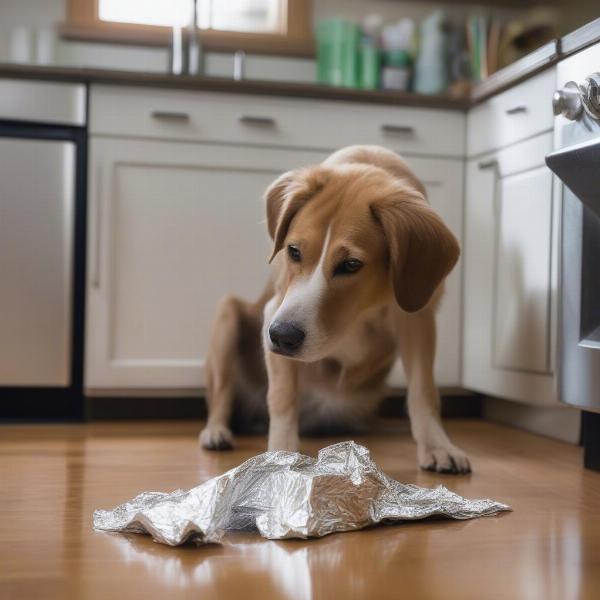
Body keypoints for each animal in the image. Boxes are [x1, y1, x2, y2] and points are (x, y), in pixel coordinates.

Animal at [199, 144, 472, 474]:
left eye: (351, 264)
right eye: (293, 251)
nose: (281, 337)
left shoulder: (417, 318)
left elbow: (423, 390)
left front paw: (437, 445)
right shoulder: (273, 310)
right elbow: (282, 396)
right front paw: (281, 453)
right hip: (227, 315)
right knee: (221, 392)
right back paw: (216, 431)